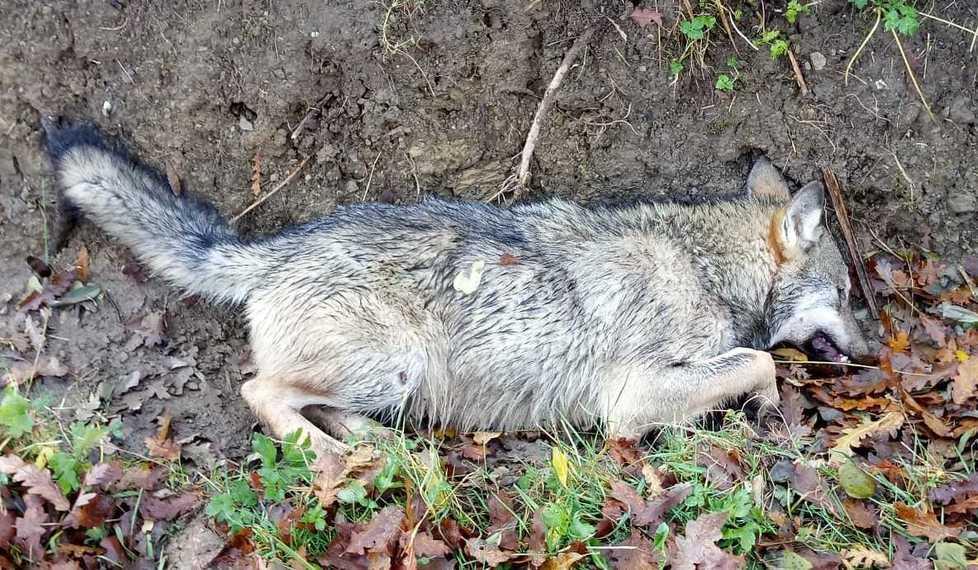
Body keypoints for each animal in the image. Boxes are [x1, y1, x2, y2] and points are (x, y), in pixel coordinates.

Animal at [43, 119, 869, 456]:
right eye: (846, 293)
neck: (704, 265)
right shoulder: (630, 396)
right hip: (395, 360)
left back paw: (370, 440)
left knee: (306, 400)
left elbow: (755, 357)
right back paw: (333, 458)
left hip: (392, 376)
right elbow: (759, 361)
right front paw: (766, 404)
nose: (871, 350)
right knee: (261, 393)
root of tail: (272, 251)